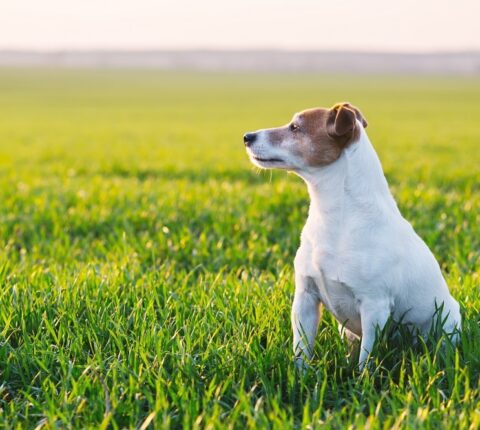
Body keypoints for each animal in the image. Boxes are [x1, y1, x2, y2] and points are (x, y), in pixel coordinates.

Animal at [244, 102, 462, 368]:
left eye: (295, 127)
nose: (247, 136)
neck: (335, 217)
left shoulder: (374, 307)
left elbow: (366, 359)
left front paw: (363, 378)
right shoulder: (305, 298)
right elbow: (301, 351)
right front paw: (299, 375)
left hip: (446, 324)